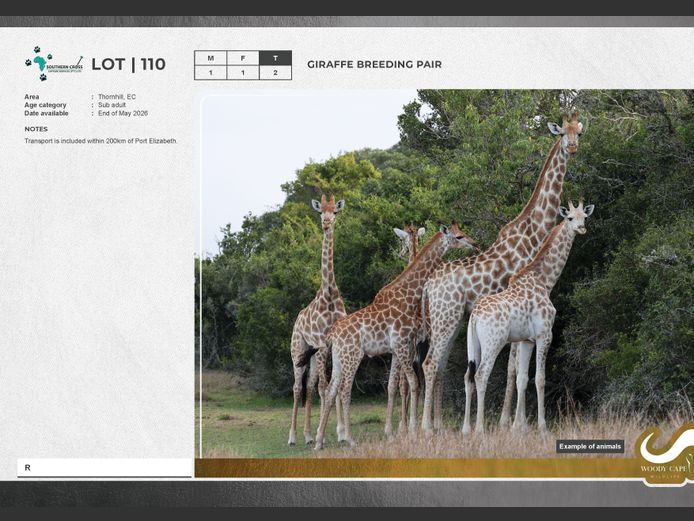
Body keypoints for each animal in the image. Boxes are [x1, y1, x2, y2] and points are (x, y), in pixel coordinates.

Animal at [313, 224, 478, 449]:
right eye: (459, 236)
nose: (474, 244)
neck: (408, 295)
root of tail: (333, 334)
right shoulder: (401, 343)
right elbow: (412, 383)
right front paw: (411, 431)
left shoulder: (401, 347)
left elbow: (399, 385)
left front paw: (401, 430)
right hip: (352, 357)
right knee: (344, 390)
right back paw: (350, 439)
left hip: (340, 358)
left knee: (331, 390)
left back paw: (319, 441)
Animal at [463, 201, 594, 435]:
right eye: (570, 217)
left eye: (584, 217)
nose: (581, 228)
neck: (544, 281)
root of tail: (475, 316)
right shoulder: (544, 335)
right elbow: (540, 379)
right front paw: (542, 427)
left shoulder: (526, 340)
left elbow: (523, 378)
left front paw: (519, 428)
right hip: (494, 342)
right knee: (481, 374)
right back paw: (480, 430)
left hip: (474, 344)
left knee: (468, 376)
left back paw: (466, 429)